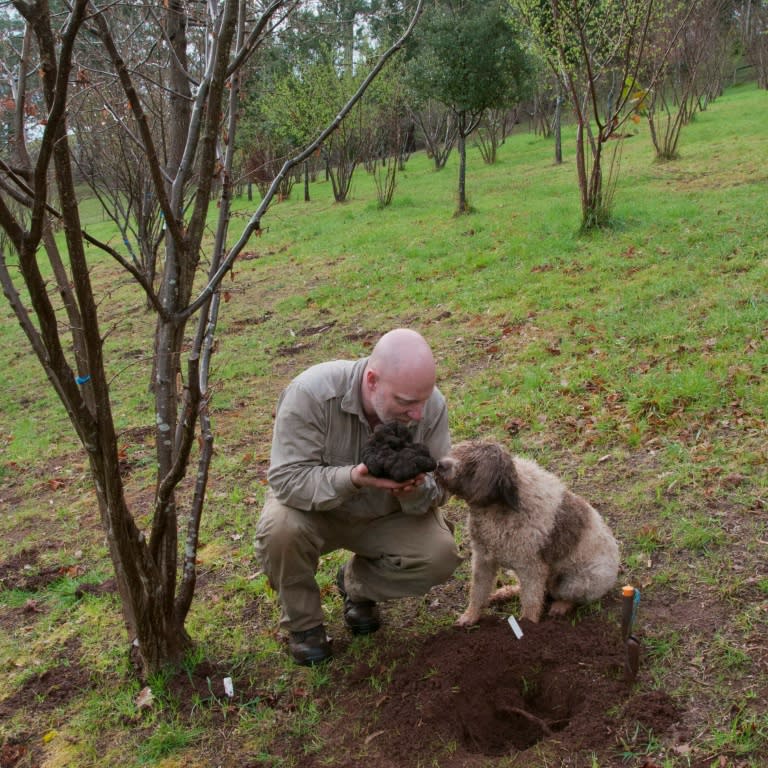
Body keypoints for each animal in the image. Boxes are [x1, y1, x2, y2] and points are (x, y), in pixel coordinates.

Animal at [436, 440, 620, 628]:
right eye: (458, 451)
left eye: (473, 465)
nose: (440, 464)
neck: (500, 507)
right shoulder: (483, 558)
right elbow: (478, 591)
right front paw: (470, 616)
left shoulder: (532, 567)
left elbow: (531, 601)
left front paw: (528, 625)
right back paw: (505, 592)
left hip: (578, 581)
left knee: (568, 596)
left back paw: (560, 606)